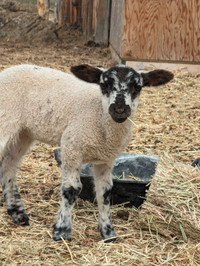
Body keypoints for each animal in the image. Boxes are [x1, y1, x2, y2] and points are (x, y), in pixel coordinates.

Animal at [0, 63, 173, 242]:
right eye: (103, 85)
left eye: (137, 87)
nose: (119, 109)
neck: (99, 115)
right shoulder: (71, 147)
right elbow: (71, 188)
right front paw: (62, 231)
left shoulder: (106, 159)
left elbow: (105, 191)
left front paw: (108, 232)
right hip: (6, 121)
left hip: (23, 133)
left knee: (8, 166)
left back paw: (18, 214)